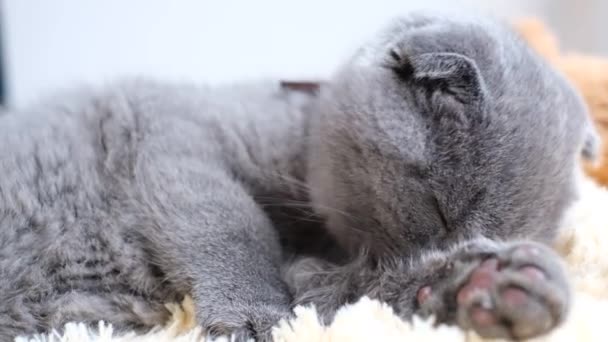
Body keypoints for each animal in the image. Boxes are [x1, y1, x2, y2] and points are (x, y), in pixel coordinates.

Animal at [0, 11, 600, 342]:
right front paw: (251, 315)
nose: (453, 246)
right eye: (440, 209)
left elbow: (355, 298)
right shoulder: (172, 134)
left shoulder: (325, 277)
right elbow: (232, 228)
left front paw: (489, 283)